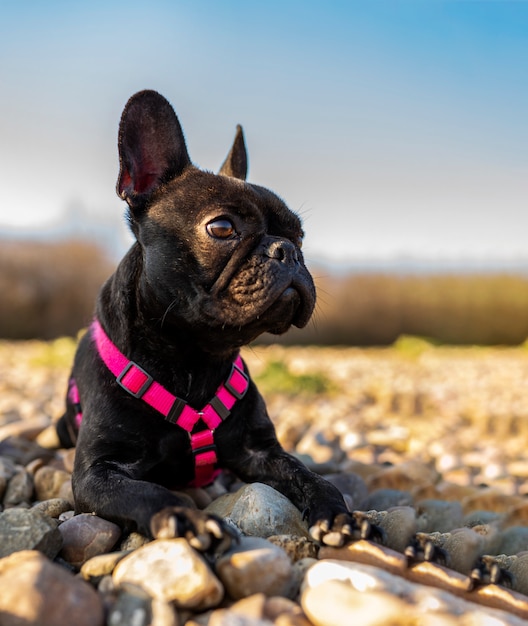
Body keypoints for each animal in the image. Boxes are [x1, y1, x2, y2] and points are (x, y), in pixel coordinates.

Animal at [55, 90, 366, 548]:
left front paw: (337, 513)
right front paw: (186, 518)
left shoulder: (262, 452)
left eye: (300, 234)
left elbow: (308, 475)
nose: (286, 251)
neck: (195, 355)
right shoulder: (99, 473)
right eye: (222, 227)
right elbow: (147, 492)